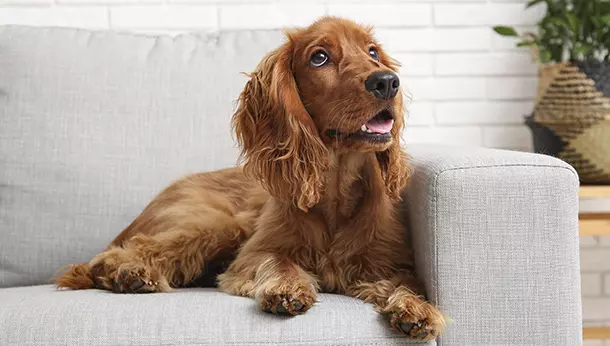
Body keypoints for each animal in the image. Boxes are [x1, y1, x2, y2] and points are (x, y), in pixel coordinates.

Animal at [55, 16, 446, 340]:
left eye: (372, 51)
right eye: (319, 57)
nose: (387, 82)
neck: (335, 188)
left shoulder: (389, 262)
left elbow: (409, 282)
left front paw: (416, 309)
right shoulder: (253, 254)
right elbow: (278, 260)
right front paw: (287, 288)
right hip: (218, 225)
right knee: (115, 255)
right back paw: (130, 273)